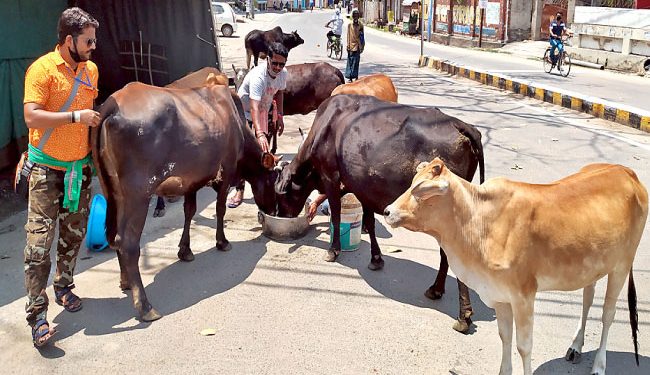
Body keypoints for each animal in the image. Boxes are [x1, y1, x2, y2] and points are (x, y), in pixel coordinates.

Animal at [93, 83, 278, 322]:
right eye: (273, 180)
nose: (273, 210)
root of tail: (113, 103)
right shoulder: (226, 171)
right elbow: (219, 209)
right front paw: (222, 242)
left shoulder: (191, 181)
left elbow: (189, 212)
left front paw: (185, 250)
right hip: (138, 195)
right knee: (127, 242)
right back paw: (144, 306)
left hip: (112, 193)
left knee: (115, 236)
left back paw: (126, 282)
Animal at [382, 159, 644, 375]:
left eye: (422, 191)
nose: (387, 211)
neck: (479, 223)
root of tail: (627, 172)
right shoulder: (500, 297)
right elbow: (505, 338)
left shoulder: (524, 296)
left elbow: (524, 347)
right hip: (593, 265)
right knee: (588, 300)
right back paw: (575, 347)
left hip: (622, 265)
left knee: (608, 315)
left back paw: (599, 365)